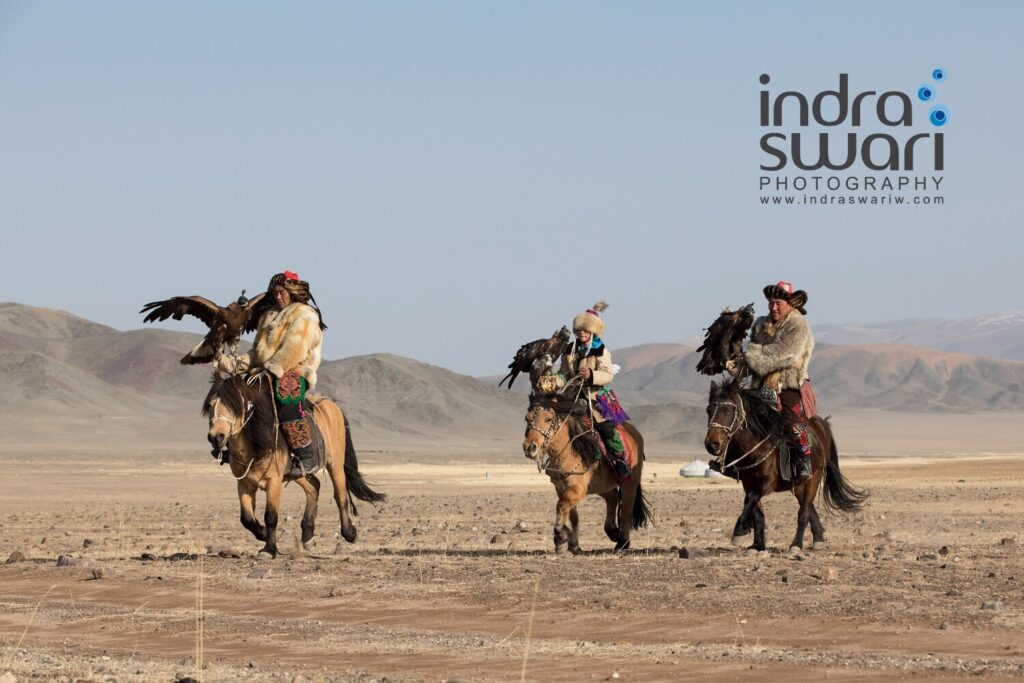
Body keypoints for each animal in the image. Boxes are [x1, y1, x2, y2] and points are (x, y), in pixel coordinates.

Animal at [202, 374, 385, 561]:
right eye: (210, 405)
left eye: (234, 405)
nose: (216, 437)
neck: (255, 445)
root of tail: (332, 405)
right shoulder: (244, 484)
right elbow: (246, 518)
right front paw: (262, 534)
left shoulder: (273, 482)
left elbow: (271, 516)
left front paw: (268, 549)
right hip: (299, 472)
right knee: (314, 487)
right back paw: (308, 536)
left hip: (335, 464)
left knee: (340, 495)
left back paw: (349, 533)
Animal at [708, 378, 868, 557]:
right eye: (709, 410)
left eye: (729, 411)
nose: (712, 444)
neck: (756, 445)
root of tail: (822, 425)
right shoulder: (748, 483)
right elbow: (756, 512)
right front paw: (757, 545)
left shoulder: (768, 483)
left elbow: (750, 500)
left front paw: (740, 530)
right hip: (798, 485)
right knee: (808, 507)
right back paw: (818, 538)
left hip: (813, 479)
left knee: (804, 512)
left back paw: (796, 544)